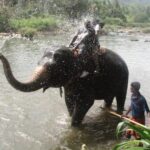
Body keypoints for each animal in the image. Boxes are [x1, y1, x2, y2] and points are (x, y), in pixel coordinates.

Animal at [0, 47, 129, 126]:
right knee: (109, 97)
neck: (74, 54)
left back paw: (119, 113)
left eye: (52, 68)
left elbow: (86, 102)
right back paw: (105, 108)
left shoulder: (88, 78)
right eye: (37, 63)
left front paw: (74, 126)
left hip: (124, 78)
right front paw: (70, 118)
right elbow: (68, 100)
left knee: (120, 97)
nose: (1, 54)